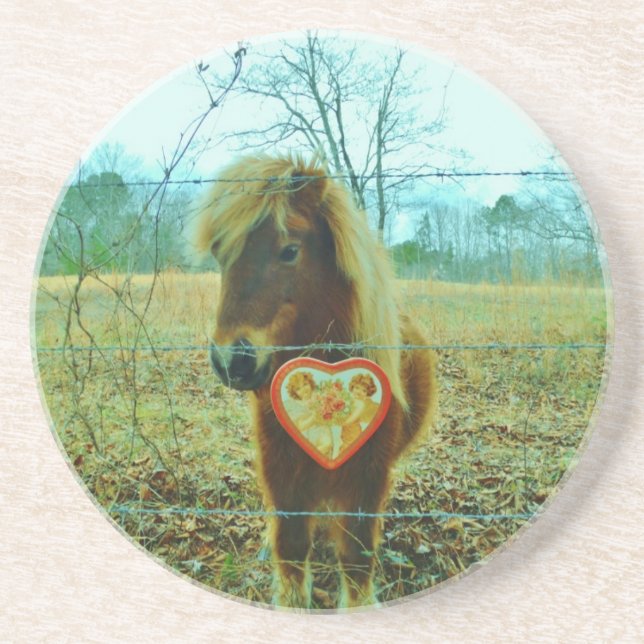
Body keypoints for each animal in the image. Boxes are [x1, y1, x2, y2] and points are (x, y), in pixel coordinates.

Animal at [193, 155, 437, 608]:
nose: (231, 360)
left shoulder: (367, 479)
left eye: (290, 250)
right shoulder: (280, 471)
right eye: (220, 254)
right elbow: (290, 547)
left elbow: (356, 559)